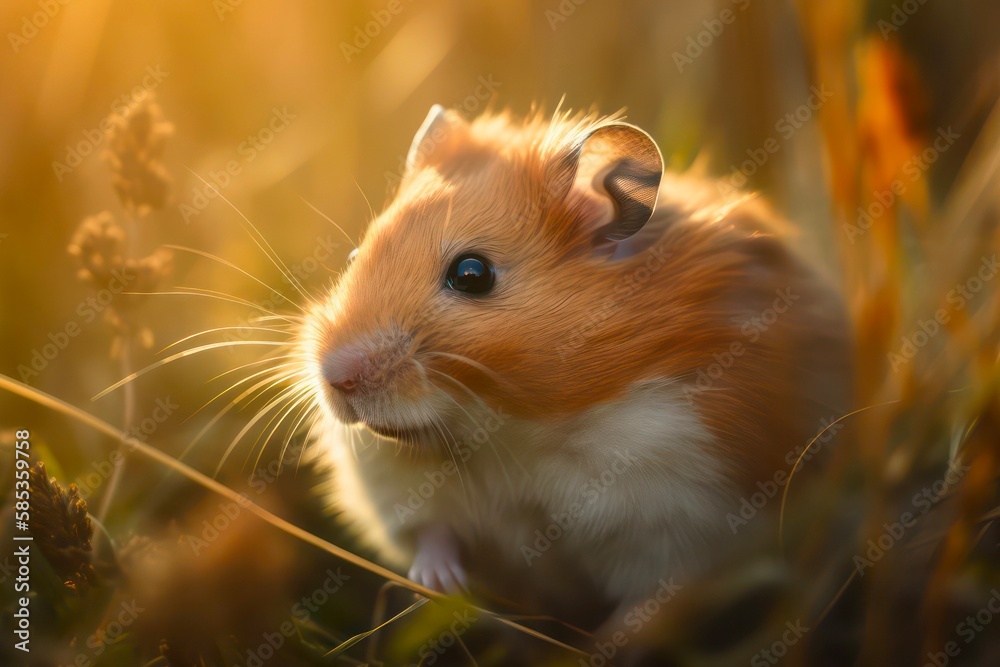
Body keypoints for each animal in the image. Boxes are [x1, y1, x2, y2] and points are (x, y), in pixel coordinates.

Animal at [301, 105, 852, 628]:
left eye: (472, 274)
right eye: (354, 256)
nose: (336, 378)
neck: (508, 430)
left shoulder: (682, 509)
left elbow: (652, 601)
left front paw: (610, 643)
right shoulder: (391, 484)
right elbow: (431, 534)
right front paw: (440, 586)